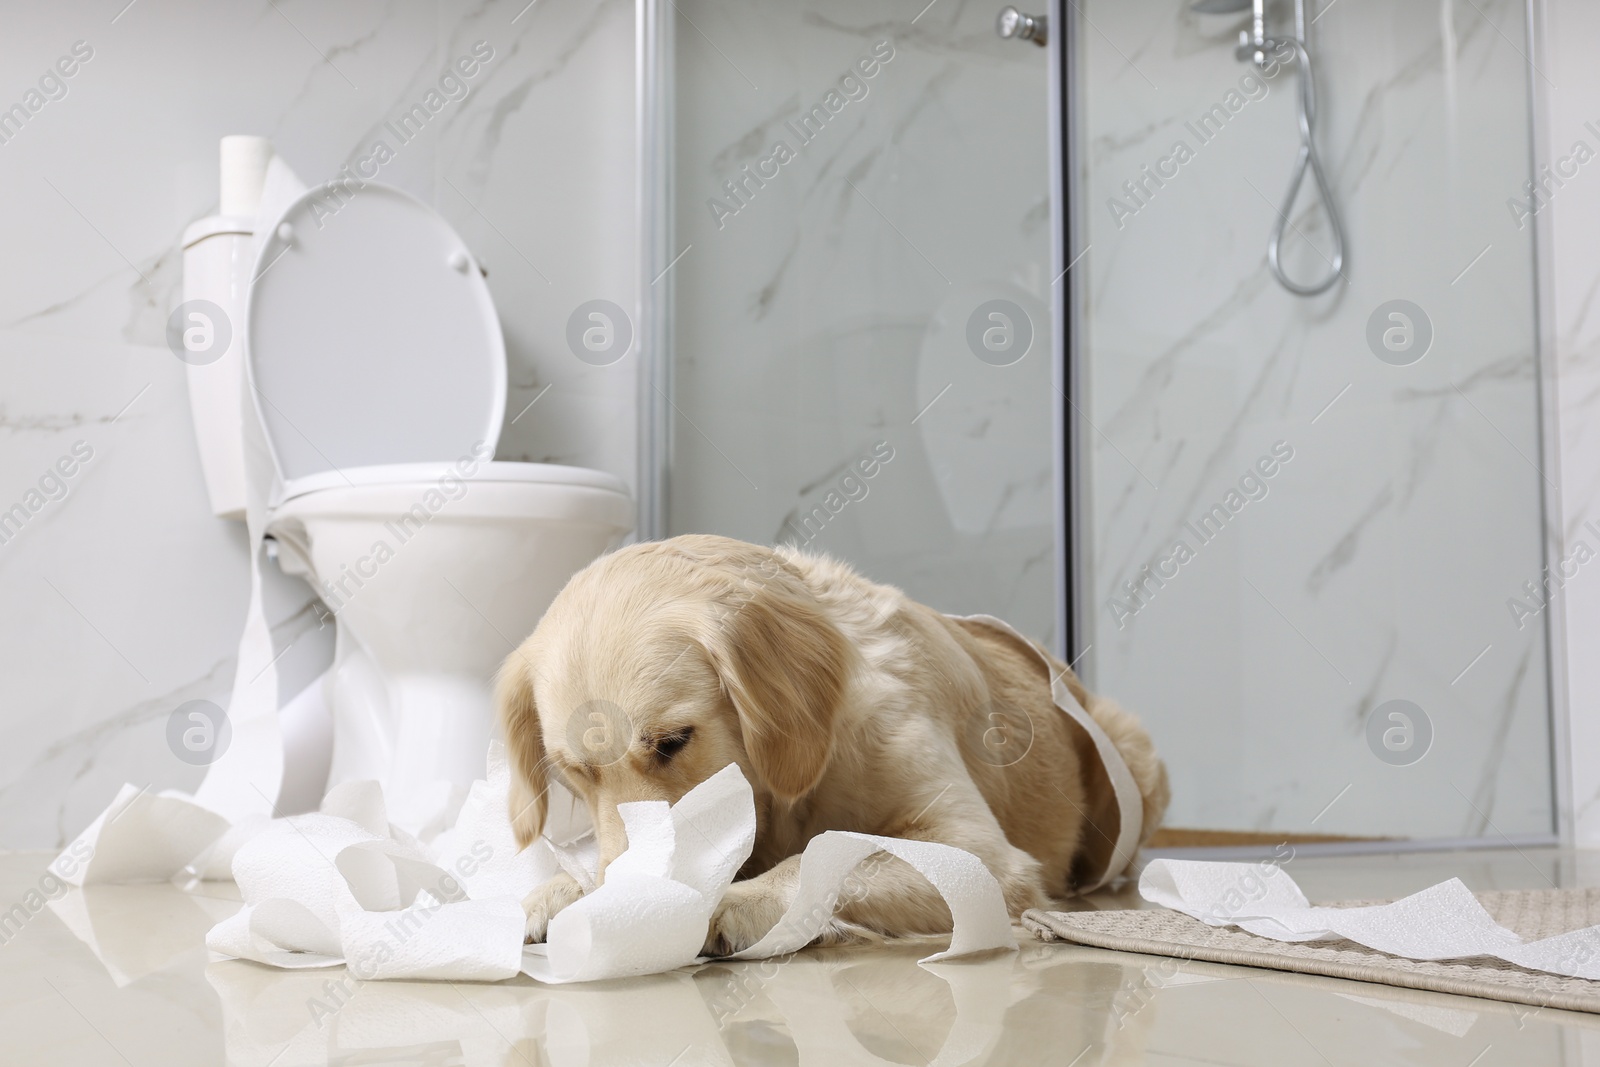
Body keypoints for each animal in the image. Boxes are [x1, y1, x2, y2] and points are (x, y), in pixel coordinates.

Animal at [492, 534, 1171, 953]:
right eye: (573, 773)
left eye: (673, 741)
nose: (634, 891)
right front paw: (563, 891)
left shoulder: (978, 851)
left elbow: (826, 855)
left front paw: (735, 901)